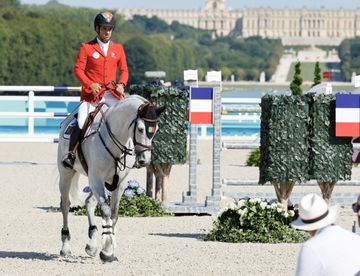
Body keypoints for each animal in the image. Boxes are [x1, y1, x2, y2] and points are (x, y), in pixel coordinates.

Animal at [57, 95, 166, 260]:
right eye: (141, 129)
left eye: (156, 130)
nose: (144, 160)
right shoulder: (96, 178)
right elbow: (107, 211)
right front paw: (107, 252)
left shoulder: (119, 183)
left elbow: (114, 214)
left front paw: (108, 248)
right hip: (67, 174)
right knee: (65, 205)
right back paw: (65, 247)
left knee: (89, 202)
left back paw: (92, 245)